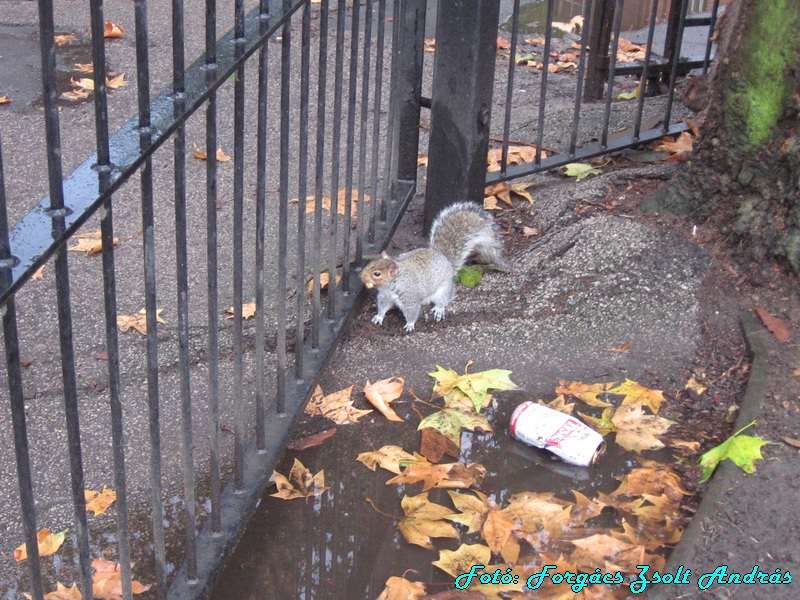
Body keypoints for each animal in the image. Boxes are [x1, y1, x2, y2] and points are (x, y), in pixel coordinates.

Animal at [360, 202, 504, 332]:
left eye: (377, 273)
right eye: (369, 264)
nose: (361, 277)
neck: (395, 282)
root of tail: (445, 259)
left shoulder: (410, 298)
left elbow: (412, 313)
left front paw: (410, 325)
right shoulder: (385, 296)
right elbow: (383, 307)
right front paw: (378, 317)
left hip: (443, 289)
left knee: (445, 299)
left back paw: (439, 309)